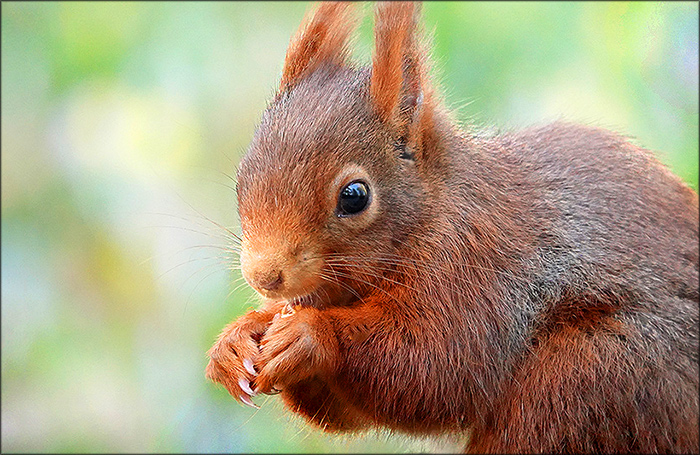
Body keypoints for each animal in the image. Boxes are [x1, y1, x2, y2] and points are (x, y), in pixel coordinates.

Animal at [205, 2, 699, 453]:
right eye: (241, 176)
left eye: (355, 196)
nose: (264, 276)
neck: (429, 215)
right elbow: (345, 410)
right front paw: (239, 338)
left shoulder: (478, 267)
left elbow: (439, 367)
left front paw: (310, 334)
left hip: (593, 376)